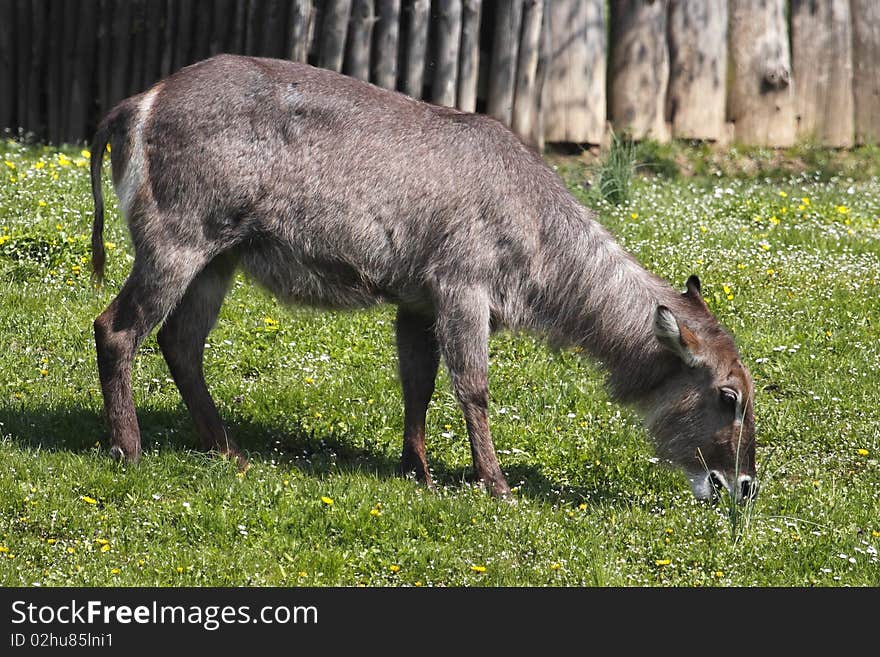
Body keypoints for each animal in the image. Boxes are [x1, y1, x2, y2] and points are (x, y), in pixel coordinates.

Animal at [91, 53, 756, 502]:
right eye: (730, 397)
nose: (744, 485)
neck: (536, 220)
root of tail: (139, 103)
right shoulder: (464, 289)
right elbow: (473, 388)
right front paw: (496, 485)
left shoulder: (417, 303)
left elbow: (419, 383)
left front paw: (419, 471)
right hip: (177, 245)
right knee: (115, 329)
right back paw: (131, 450)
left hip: (219, 260)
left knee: (180, 341)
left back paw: (229, 451)